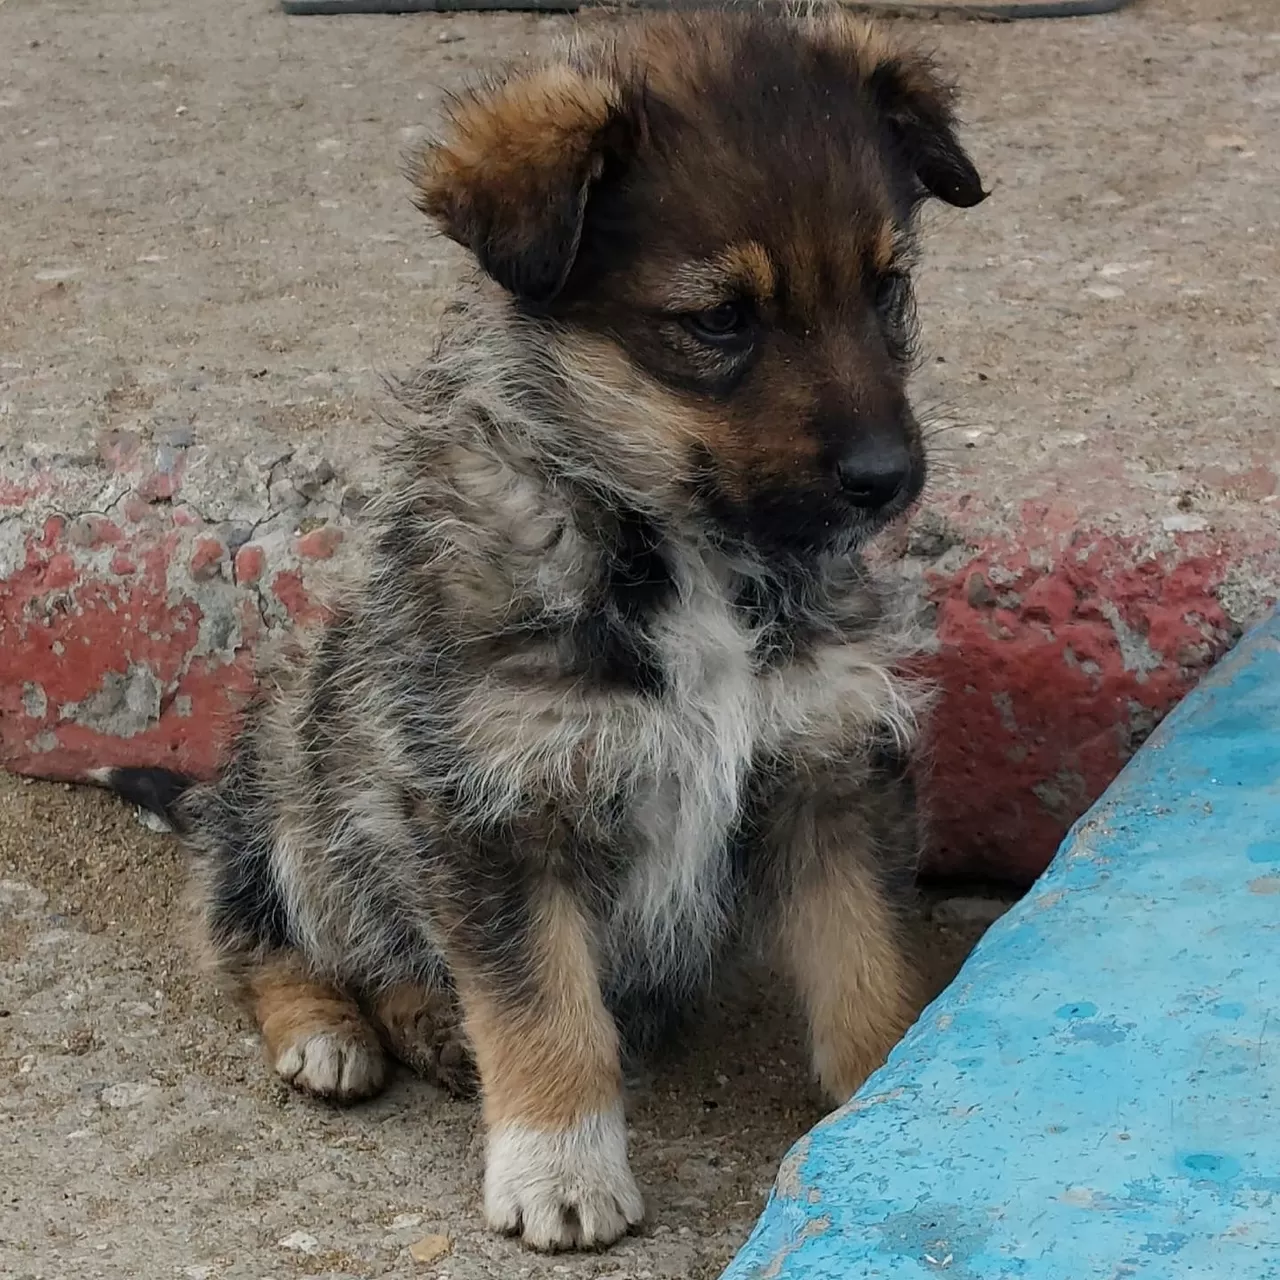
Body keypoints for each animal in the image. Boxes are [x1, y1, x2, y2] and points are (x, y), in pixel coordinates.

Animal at [99, 10, 985, 1252]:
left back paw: (425, 1022)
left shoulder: (828, 765)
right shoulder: (499, 803)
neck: (682, 553)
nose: (887, 479)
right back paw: (330, 1029)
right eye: (719, 319)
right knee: (259, 935)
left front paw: (894, 1103)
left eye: (886, 288)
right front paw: (559, 1165)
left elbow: (865, 969)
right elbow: (542, 1007)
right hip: (290, 789)